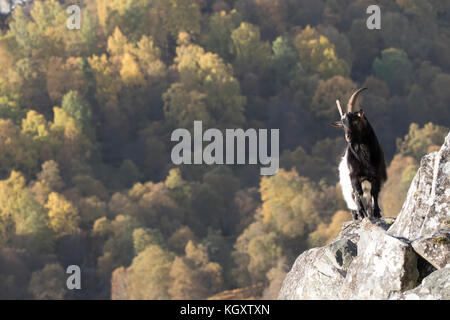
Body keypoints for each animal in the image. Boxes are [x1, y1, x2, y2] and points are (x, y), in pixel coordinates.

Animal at [330, 89, 386, 221]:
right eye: (342, 124)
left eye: (355, 120)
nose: (348, 137)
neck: (364, 158)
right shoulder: (354, 176)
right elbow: (357, 193)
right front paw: (361, 213)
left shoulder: (376, 175)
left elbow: (374, 193)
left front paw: (376, 213)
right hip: (346, 187)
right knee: (353, 199)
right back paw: (357, 215)